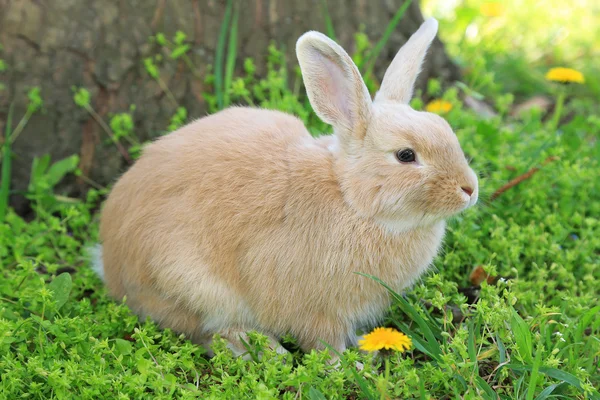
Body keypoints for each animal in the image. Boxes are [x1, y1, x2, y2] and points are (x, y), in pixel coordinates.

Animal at [94, 18, 478, 360]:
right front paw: (346, 367)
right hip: (189, 283)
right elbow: (323, 343)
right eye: (405, 155)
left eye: (444, 127)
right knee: (205, 330)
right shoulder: (315, 308)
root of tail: (109, 262)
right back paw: (263, 350)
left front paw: (362, 350)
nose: (469, 189)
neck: (350, 200)